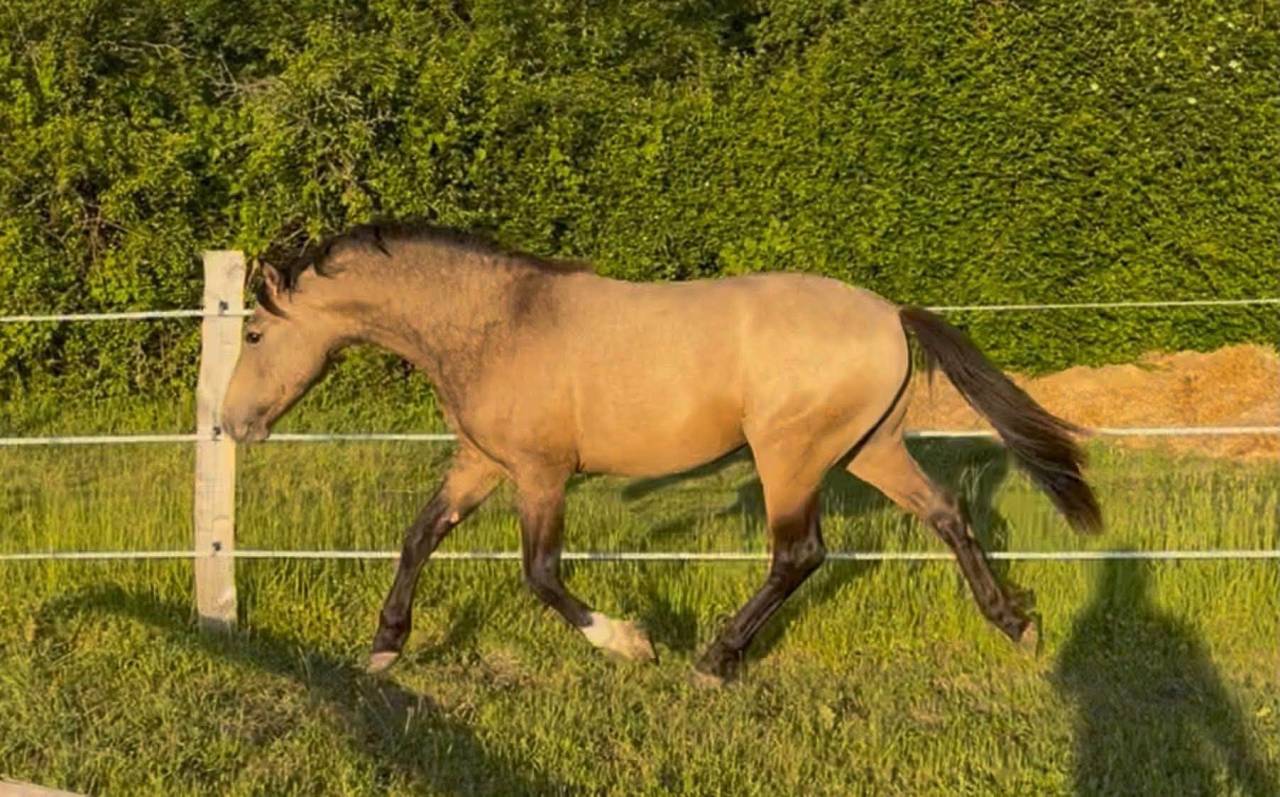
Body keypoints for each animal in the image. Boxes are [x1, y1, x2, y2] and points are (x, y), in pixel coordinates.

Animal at [221, 222, 1101, 685]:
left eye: (255, 334)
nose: (232, 424)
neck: (500, 324)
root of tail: (890, 313)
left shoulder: (540, 475)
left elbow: (541, 573)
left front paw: (630, 640)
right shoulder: (480, 463)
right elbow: (418, 536)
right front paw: (384, 646)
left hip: (790, 454)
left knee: (799, 552)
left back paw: (715, 657)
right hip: (869, 447)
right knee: (946, 514)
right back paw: (1017, 624)